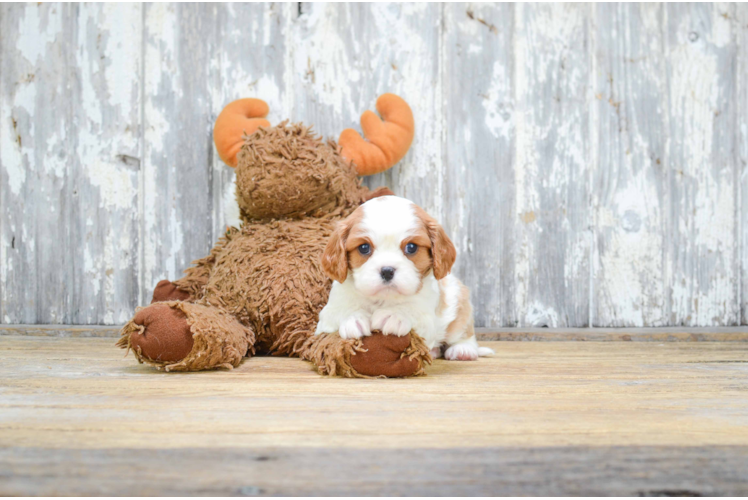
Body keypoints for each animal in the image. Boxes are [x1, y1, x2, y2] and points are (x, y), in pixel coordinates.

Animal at [314, 193, 494, 362]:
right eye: (364, 248)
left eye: (411, 247)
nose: (387, 270)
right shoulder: (325, 318)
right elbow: (340, 312)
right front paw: (354, 318)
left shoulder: (428, 315)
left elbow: (412, 311)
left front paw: (395, 315)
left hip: (458, 299)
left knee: (463, 333)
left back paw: (463, 350)